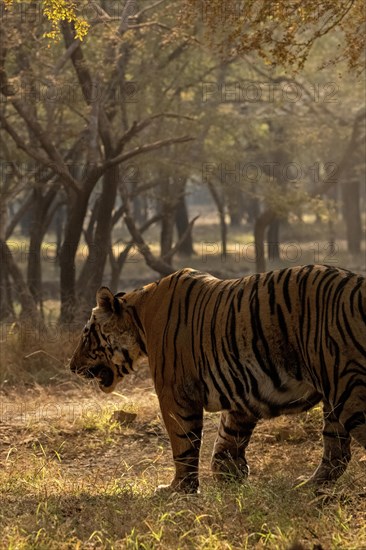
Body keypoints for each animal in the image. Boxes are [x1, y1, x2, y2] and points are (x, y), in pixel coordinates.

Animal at [69, 266, 366, 494]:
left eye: (86, 334)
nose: (71, 367)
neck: (138, 318)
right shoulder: (246, 390)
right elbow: (228, 436)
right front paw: (230, 475)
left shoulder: (174, 393)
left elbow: (183, 443)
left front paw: (179, 489)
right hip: (335, 397)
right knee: (336, 450)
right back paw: (308, 486)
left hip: (348, 389)